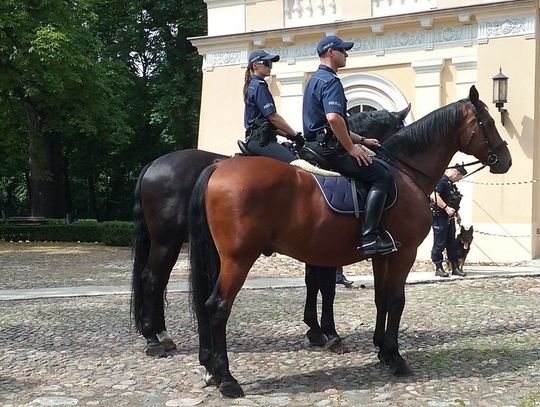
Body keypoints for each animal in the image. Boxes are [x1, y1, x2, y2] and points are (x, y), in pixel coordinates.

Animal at [189, 87, 510, 398]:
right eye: (488, 122)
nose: (506, 160)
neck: (404, 173)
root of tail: (218, 167)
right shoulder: (403, 253)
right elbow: (394, 299)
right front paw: (395, 357)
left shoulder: (382, 255)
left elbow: (380, 298)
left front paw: (381, 350)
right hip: (238, 259)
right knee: (218, 306)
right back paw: (227, 379)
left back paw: (213, 370)